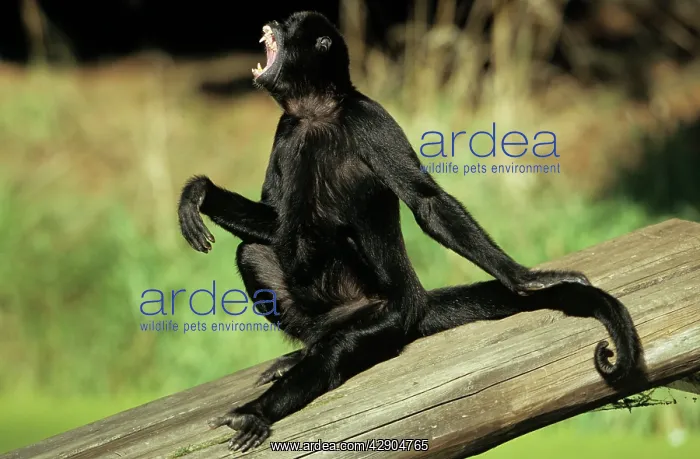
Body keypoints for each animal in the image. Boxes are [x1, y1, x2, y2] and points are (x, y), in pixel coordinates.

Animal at [177, 11, 642, 453]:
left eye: (289, 25)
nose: (273, 22)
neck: (316, 114)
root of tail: (416, 300)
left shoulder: (369, 117)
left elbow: (425, 201)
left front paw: (524, 277)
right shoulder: (286, 130)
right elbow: (276, 221)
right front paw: (201, 193)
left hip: (386, 314)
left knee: (337, 345)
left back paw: (258, 412)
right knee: (255, 253)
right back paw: (302, 353)